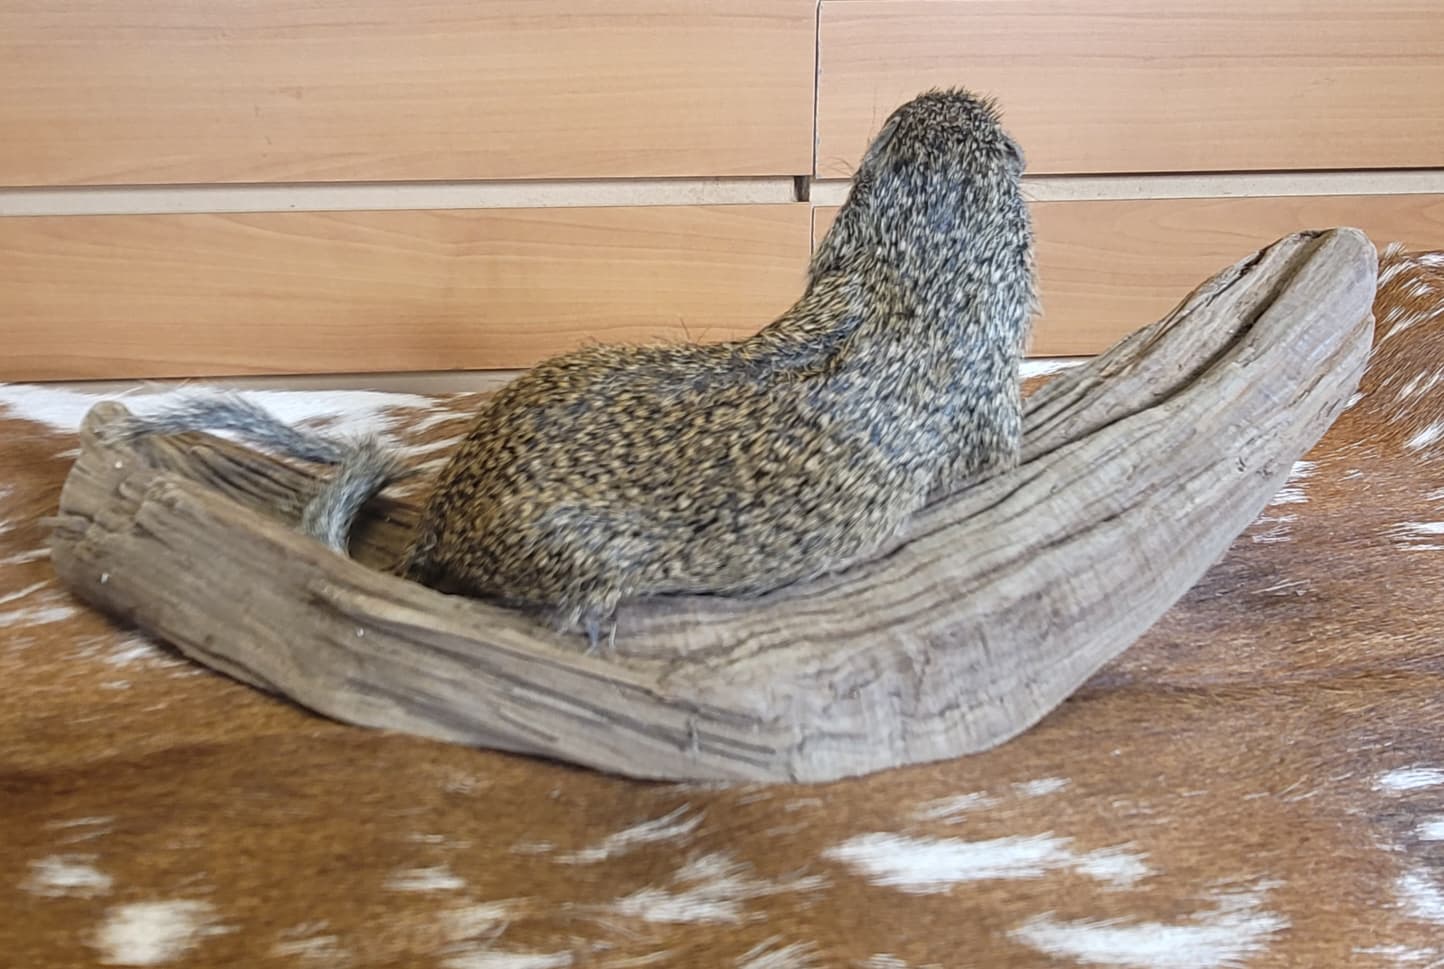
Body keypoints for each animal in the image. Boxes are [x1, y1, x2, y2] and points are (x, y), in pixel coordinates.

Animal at [109, 88, 1037, 649]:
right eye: (1004, 145)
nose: (954, 91)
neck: (909, 268)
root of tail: (442, 519)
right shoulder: (993, 416)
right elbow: (999, 454)